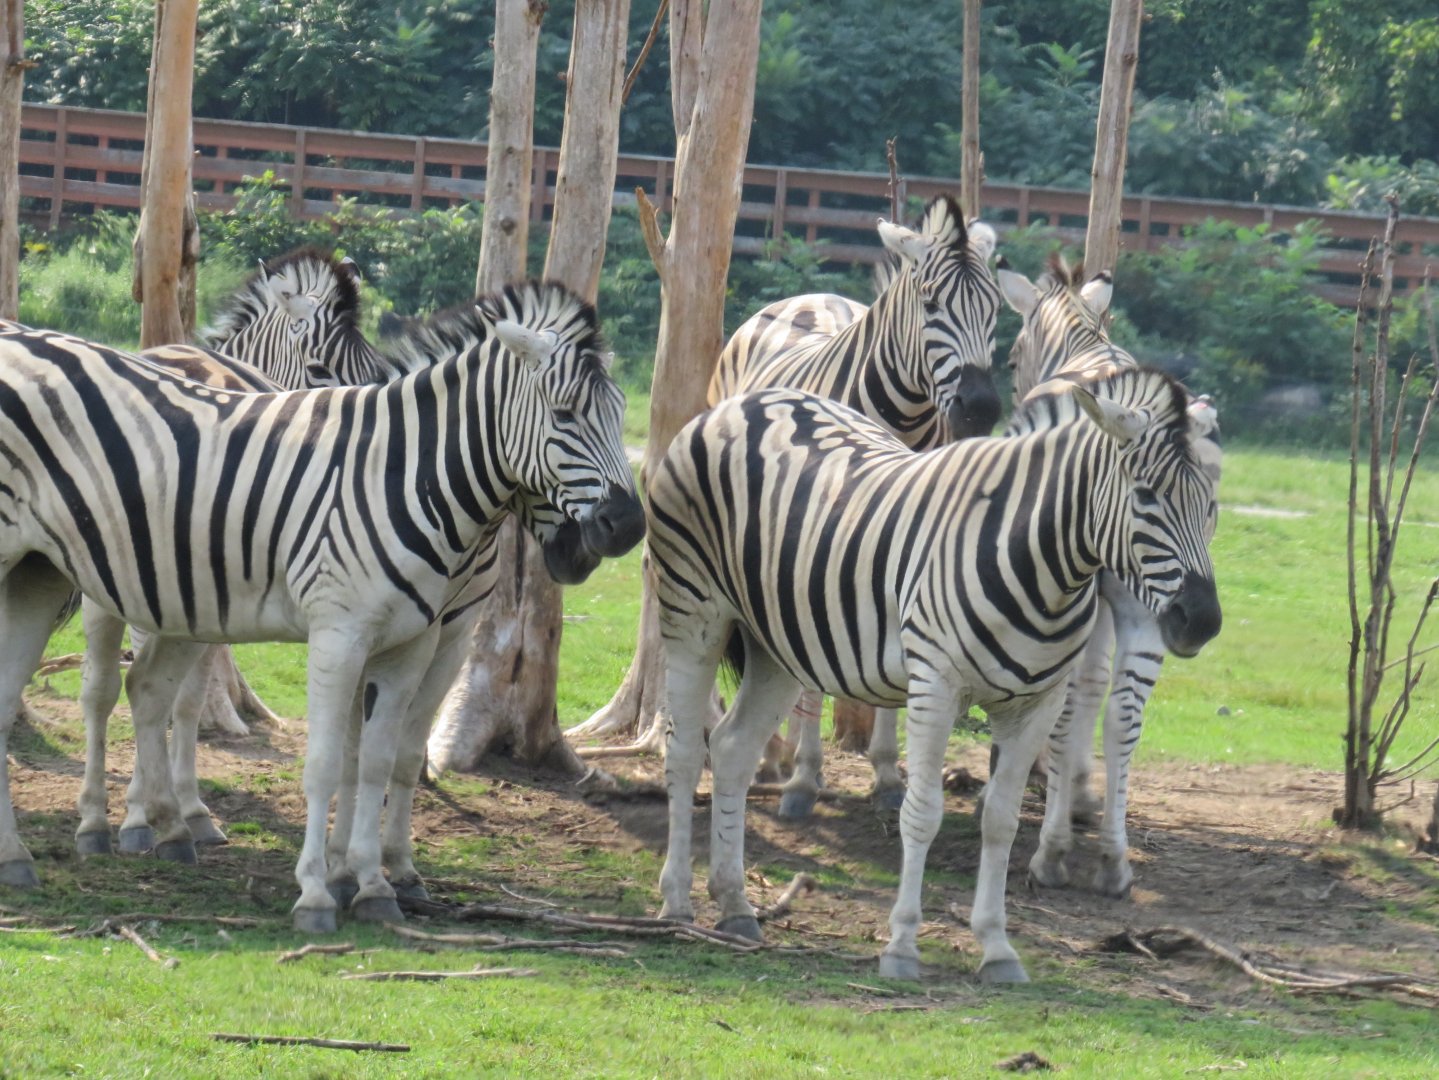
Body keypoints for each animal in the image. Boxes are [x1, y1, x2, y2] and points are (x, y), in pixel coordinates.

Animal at [0, 281, 644, 936]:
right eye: (564, 413)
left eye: (620, 413)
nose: (626, 526)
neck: (407, 479)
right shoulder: (340, 634)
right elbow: (327, 764)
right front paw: (316, 891)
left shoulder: (412, 644)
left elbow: (379, 762)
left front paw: (372, 883)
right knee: (105, 690)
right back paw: (99, 826)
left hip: (70, 578)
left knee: (133, 690)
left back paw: (75, 847)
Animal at [649, 368, 1221, 983]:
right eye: (1146, 496)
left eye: (1212, 504)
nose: (1202, 621)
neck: (1041, 562)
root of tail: (744, 403)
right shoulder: (935, 686)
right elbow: (921, 814)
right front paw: (902, 945)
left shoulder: (1036, 703)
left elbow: (1000, 821)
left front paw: (997, 947)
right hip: (693, 613)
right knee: (686, 752)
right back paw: (677, 902)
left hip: (776, 642)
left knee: (733, 748)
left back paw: (734, 906)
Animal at [709, 193, 1003, 816]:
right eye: (931, 303)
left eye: (994, 308)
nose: (981, 408)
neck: (900, 421)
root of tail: (806, 297)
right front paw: (804, 780)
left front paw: (889, 775)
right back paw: (773, 761)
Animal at [994, 255, 1223, 898]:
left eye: (1011, 360)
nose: (1199, 622)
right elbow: (1101, 692)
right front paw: (1083, 797)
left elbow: (1077, 697)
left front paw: (1068, 795)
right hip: (1153, 604)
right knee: (1123, 711)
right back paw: (1112, 858)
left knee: (1074, 702)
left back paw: (1051, 851)